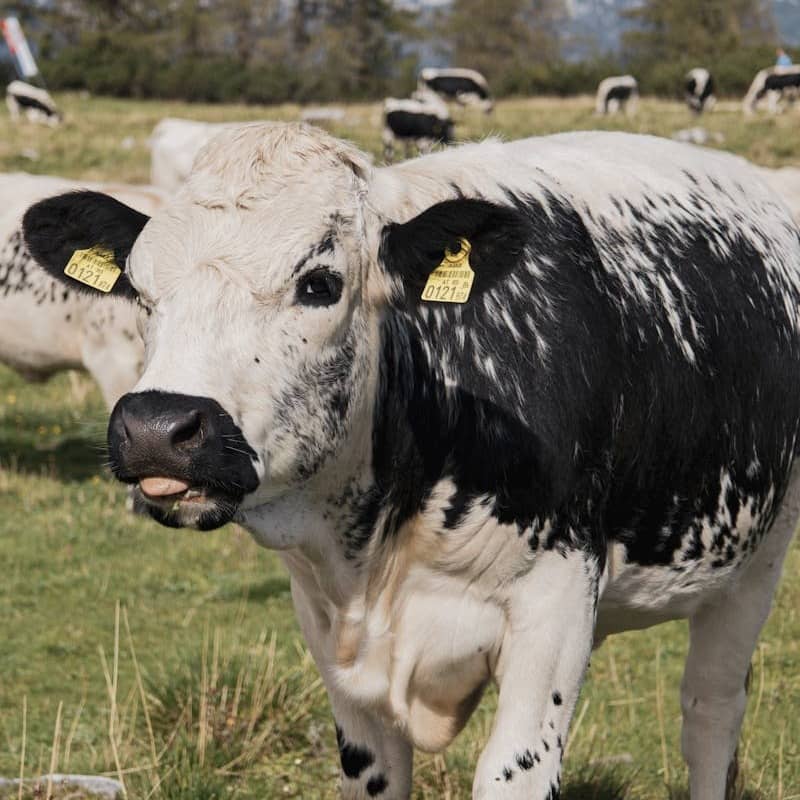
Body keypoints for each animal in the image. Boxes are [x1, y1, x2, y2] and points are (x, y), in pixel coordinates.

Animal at [23, 122, 800, 800]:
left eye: (320, 283)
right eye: (140, 288)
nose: (158, 427)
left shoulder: (555, 603)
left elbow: (513, 772)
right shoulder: (329, 628)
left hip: (755, 562)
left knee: (710, 713)